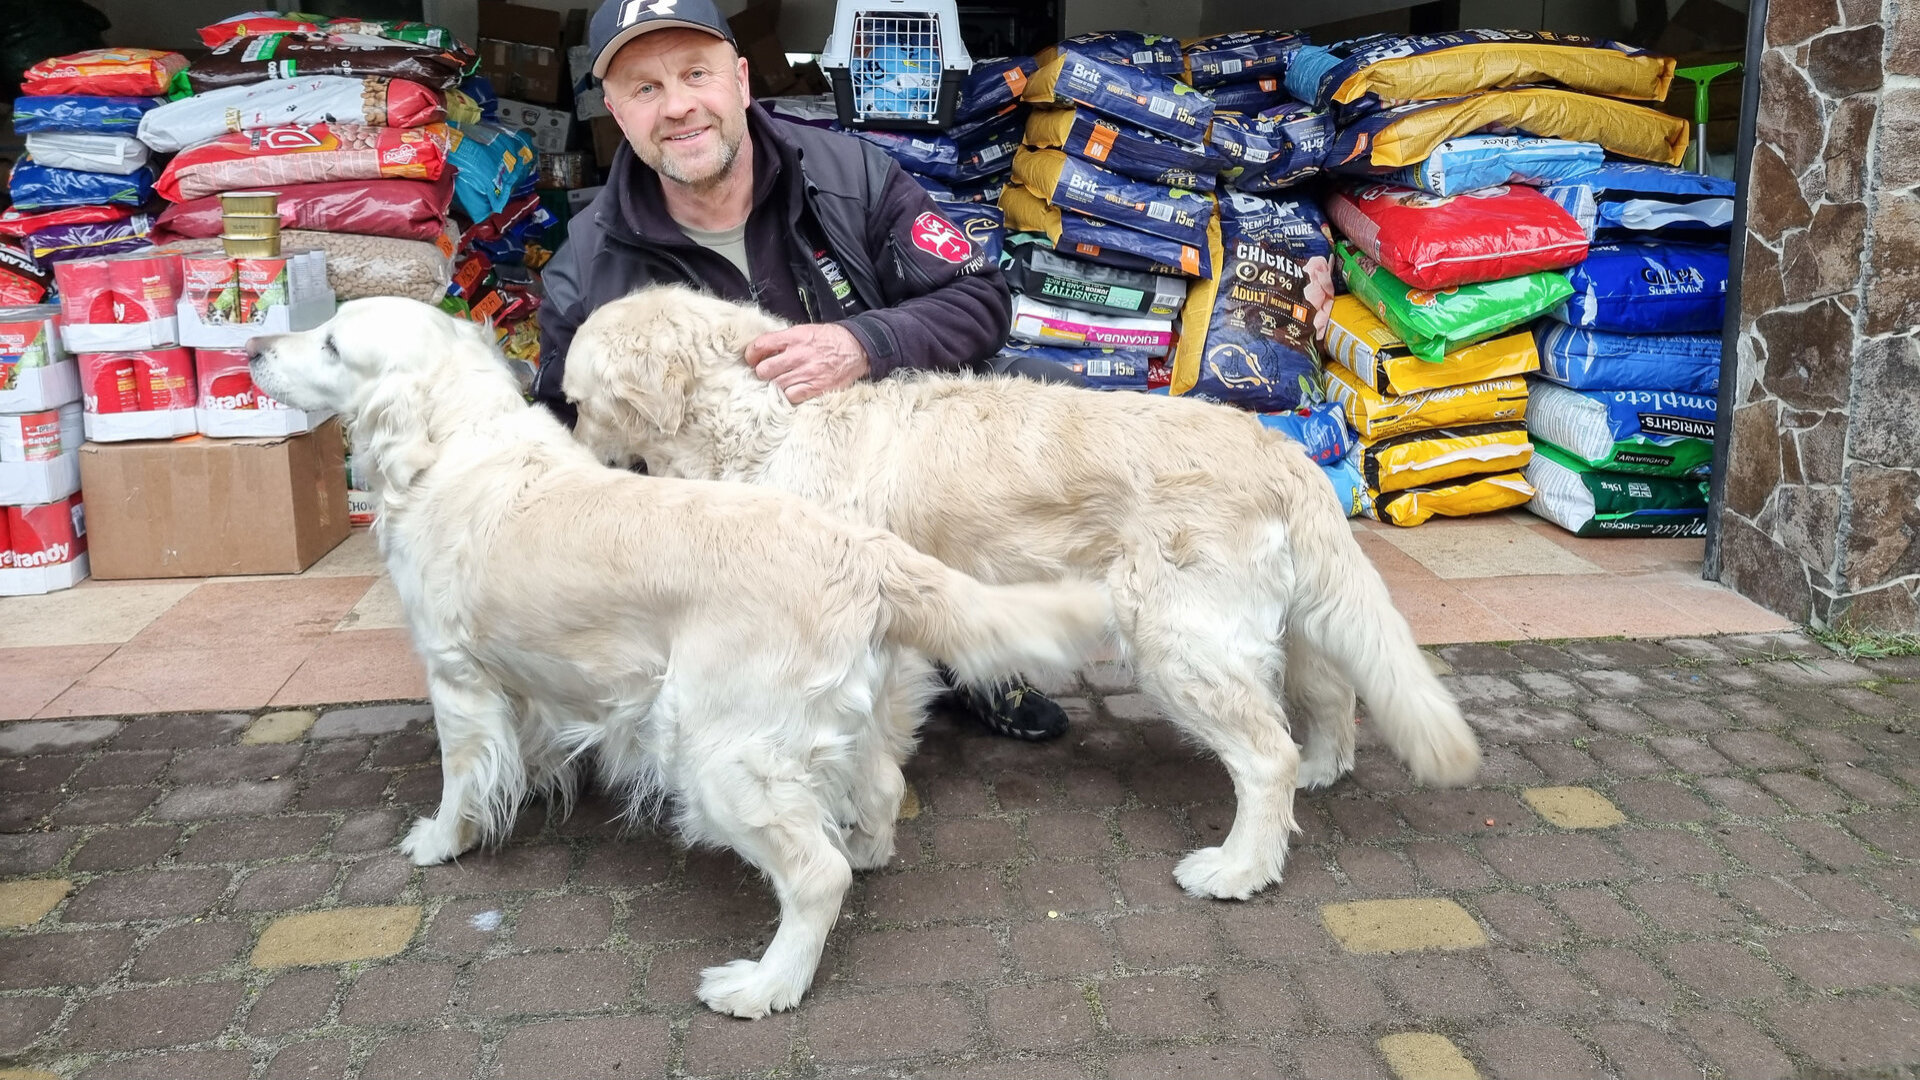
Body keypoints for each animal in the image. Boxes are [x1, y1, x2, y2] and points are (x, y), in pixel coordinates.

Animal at [245, 297, 1113, 1014]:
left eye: (330, 342)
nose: (252, 346)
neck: (455, 445)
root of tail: (860, 550)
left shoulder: (457, 677)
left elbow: (463, 776)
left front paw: (439, 841)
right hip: (839, 719)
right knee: (882, 789)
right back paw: (864, 851)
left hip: (715, 748)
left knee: (815, 875)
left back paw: (765, 985)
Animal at [560, 282, 1482, 895]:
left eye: (577, 402)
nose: (575, 456)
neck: (770, 425)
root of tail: (1283, 448)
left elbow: (865, 754)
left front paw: (865, 838)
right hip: (1288, 620)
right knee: (1330, 699)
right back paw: (1324, 772)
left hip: (1176, 636)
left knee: (1266, 754)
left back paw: (1239, 868)